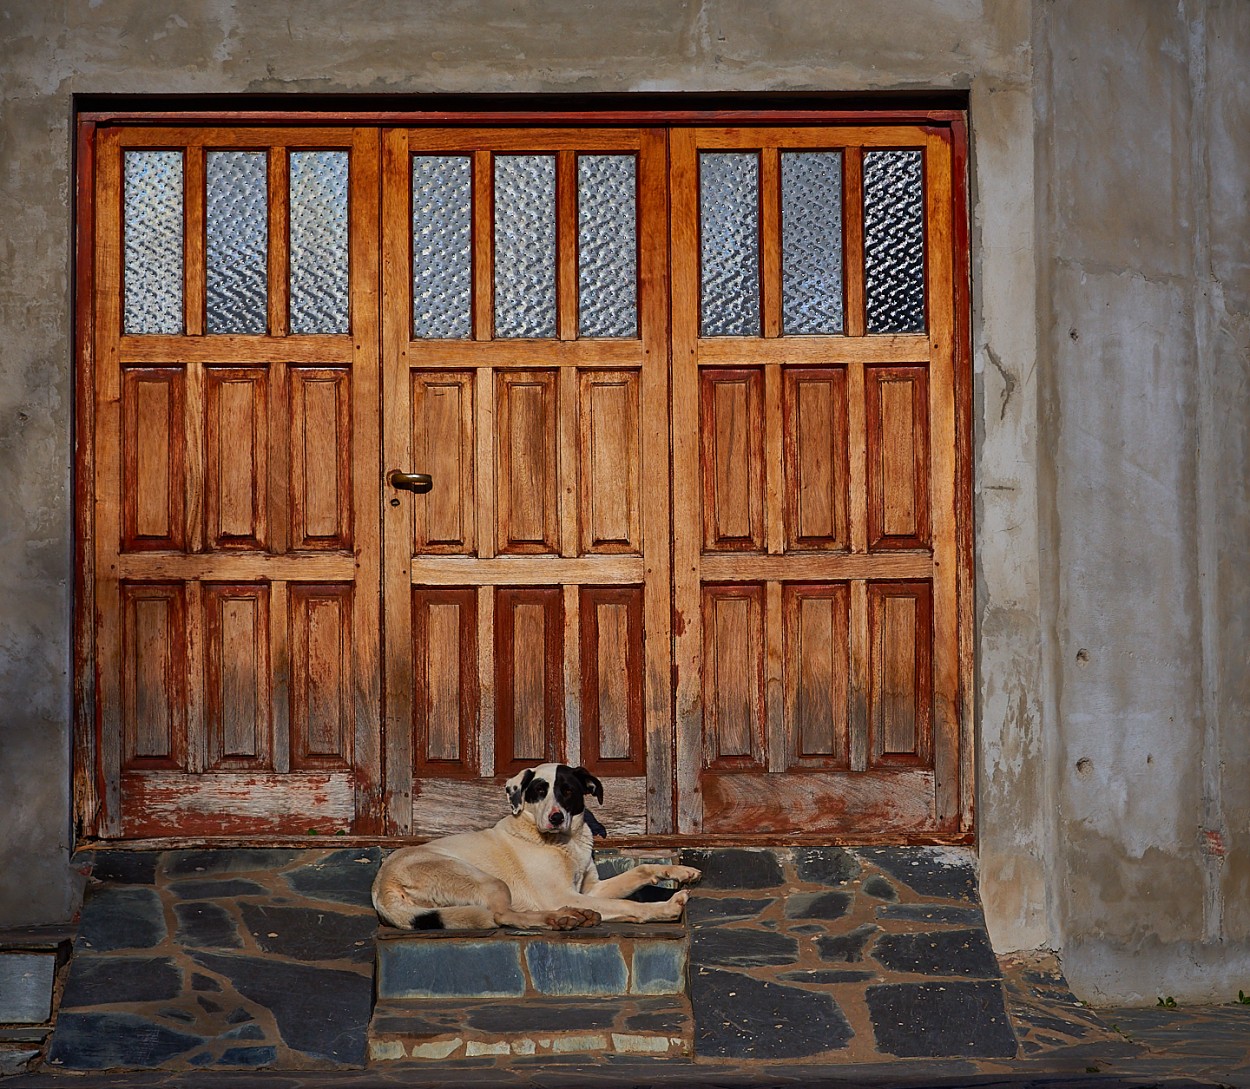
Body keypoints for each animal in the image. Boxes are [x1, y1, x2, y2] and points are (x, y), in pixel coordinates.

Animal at [370, 760, 705, 930]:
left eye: (568, 790)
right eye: (539, 791)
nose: (556, 817)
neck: (564, 842)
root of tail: (381, 885)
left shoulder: (590, 890)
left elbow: (641, 870)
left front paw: (680, 871)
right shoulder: (561, 894)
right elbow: (628, 904)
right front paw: (664, 908)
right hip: (486, 880)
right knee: (501, 916)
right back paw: (559, 917)